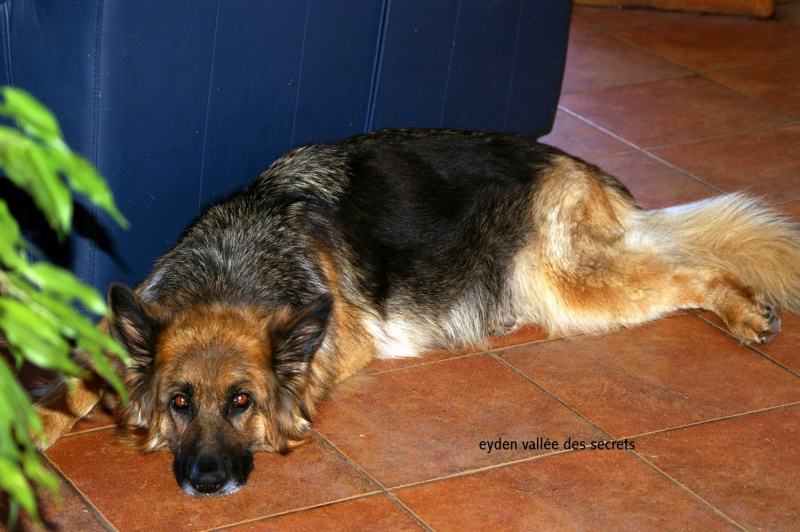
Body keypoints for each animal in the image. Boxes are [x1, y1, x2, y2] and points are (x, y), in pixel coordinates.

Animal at [34, 129, 800, 494]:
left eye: (242, 402)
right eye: (180, 402)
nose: (206, 482)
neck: (229, 272)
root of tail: (578, 166)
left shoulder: (333, 349)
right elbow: (73, 377)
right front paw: (34, 428)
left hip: (572, 286)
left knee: (693, 269)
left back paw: (743, 309)